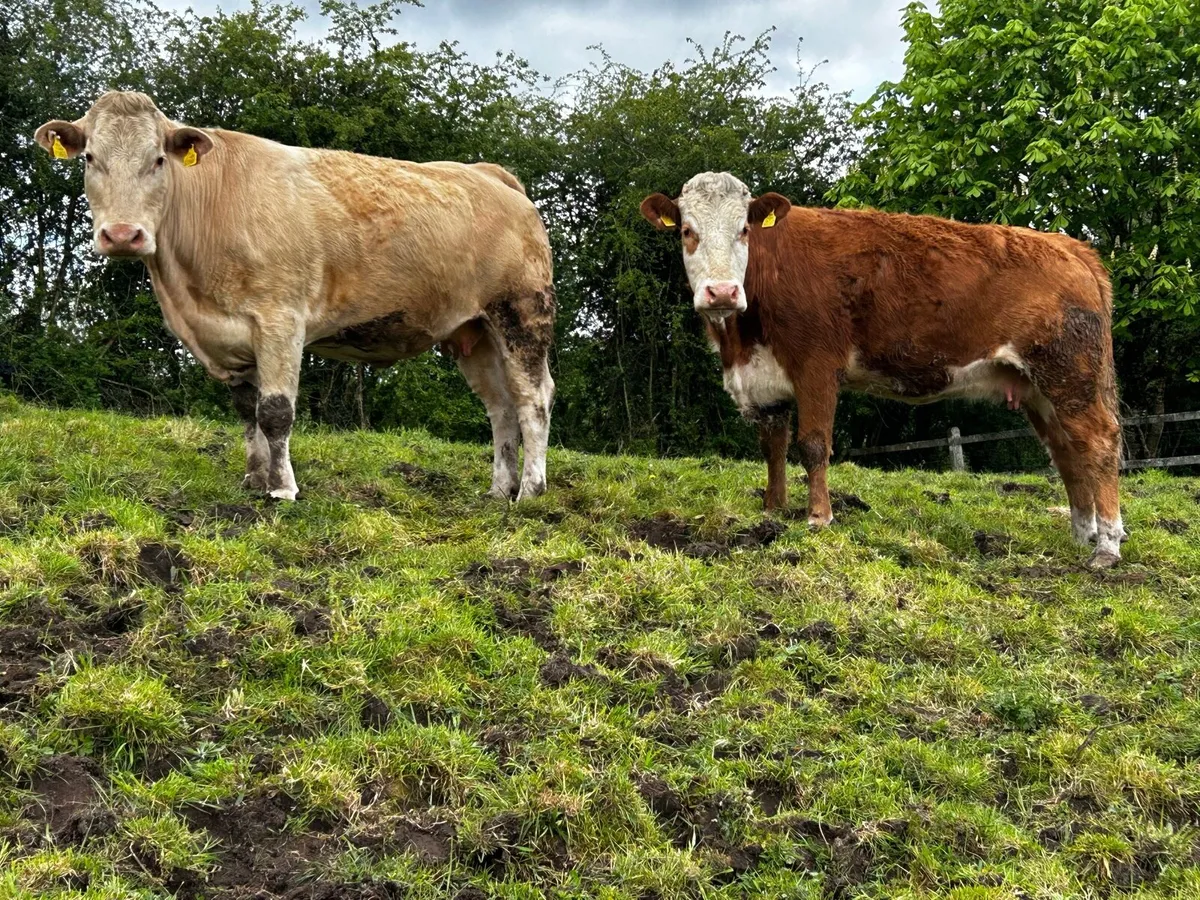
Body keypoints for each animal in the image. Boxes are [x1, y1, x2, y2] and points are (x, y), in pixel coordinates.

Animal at [35, 91, 555, 502]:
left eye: (158, 160)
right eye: (90, 158)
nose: (123, 235)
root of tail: (490, 174)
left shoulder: (280, 319)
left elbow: (275, 412)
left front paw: (283, 488)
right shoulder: (231, 337)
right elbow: (247, 411)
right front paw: (254, 479)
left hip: (521, 313)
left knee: (534, 398)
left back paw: (529, 491)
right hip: (473, 331)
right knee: (500, 406)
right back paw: (498, 489)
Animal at [641, 172, 1125, 568]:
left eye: (744, 229)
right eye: (687, 231)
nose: (721, 291)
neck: (741, 337)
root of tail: (1068, 246)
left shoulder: (817, 365)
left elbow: (813, 444)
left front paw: (819, 518)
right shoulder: (765, 382)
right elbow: (773, 449)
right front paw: (773, 511)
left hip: (1071, 374)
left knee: (1100, 442)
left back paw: (1107, 545)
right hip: (1039, 388)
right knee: (1066, 451)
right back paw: (1081, 533)